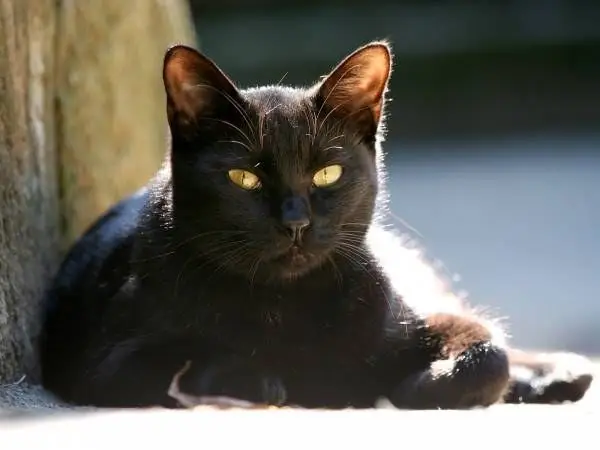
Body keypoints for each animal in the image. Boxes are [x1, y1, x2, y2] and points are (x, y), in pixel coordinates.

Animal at [39, 41, 592, 408]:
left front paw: (414, 386)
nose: (296, 222)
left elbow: (488, 353)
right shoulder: (103, 364)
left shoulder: (412, 319)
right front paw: (263, 378)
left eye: (328, 172)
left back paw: (561, 373)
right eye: (243, 178)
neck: (284, 305)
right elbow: (194, 355)